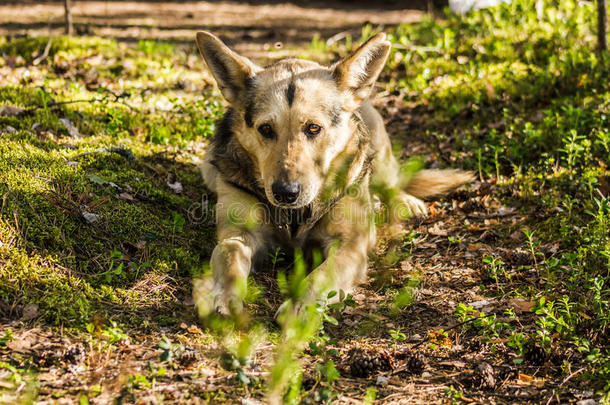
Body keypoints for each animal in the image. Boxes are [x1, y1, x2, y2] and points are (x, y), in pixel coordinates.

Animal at [192, 31, 472, 316]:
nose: (285, 193)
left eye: (313, 128)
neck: (296, 218)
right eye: (266, 129)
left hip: (378, 153)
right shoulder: (237, 234)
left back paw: (402, 201)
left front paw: (299, 308)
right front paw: (225, 296)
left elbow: (320, 276)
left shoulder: (351, 245)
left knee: (390, 184)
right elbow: (230, 256)